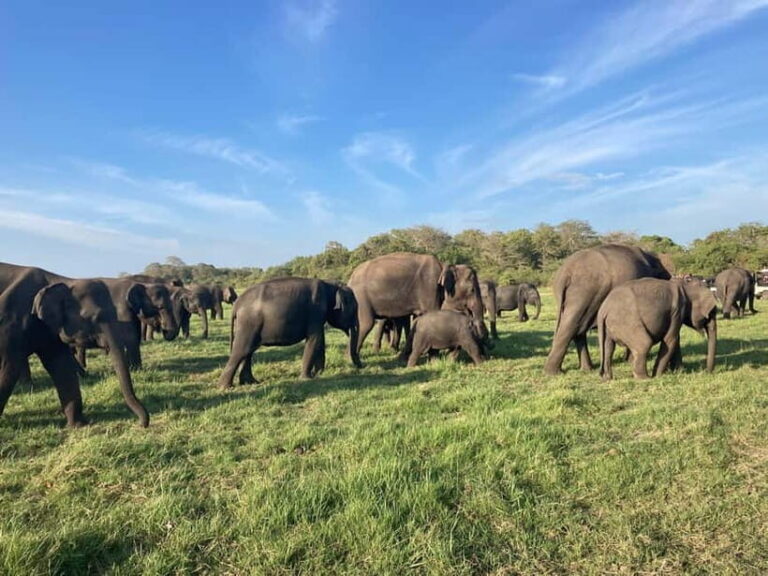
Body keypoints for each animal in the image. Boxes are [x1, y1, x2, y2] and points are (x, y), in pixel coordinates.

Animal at [0, 262, 149, 427]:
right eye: (95, 317)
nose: (141, 424)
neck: (62, 280)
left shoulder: (50, 331)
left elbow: (61, 366)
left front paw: (78, 425)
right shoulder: (10, 322)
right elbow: (8, 367)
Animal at [217, 278, 361, 388]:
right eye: (354, 309)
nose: (360, 366)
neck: (330, 285)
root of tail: (236, 304)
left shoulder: (319, 316)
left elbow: (320, 341)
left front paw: (319, 374)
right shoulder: (316, 311)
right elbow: (314, 339)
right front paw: (307, 379)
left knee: (248, 351)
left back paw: (251, 382)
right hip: (249, 323)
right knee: (242, 350)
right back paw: (225, 387)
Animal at [348, 253, 486, 356]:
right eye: (472, 290)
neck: (444, 266)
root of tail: (350, 278)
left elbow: (417, 320)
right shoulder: (430, 288)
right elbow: (431, 314)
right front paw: (433, 356)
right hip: (361, 298)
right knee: (366, 324)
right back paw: (351, 359)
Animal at [544, 244, 671, 375]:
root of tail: (566, 272)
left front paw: (628, 360)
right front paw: (629, 361)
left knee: (578, 328)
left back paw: (585, 369)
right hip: (586, 292)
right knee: (572, 326)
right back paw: (553, 373)